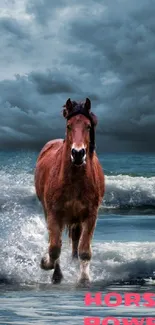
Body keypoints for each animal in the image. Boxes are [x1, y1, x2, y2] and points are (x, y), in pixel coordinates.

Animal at [34, 97, 104, 284]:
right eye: (69, 125)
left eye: (88, 126)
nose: (78, 153)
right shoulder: (53, 214)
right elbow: (54, 248)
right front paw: (46, 264)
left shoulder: (90, 215)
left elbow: (84, 250)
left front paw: (84, 278)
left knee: (75, 241)